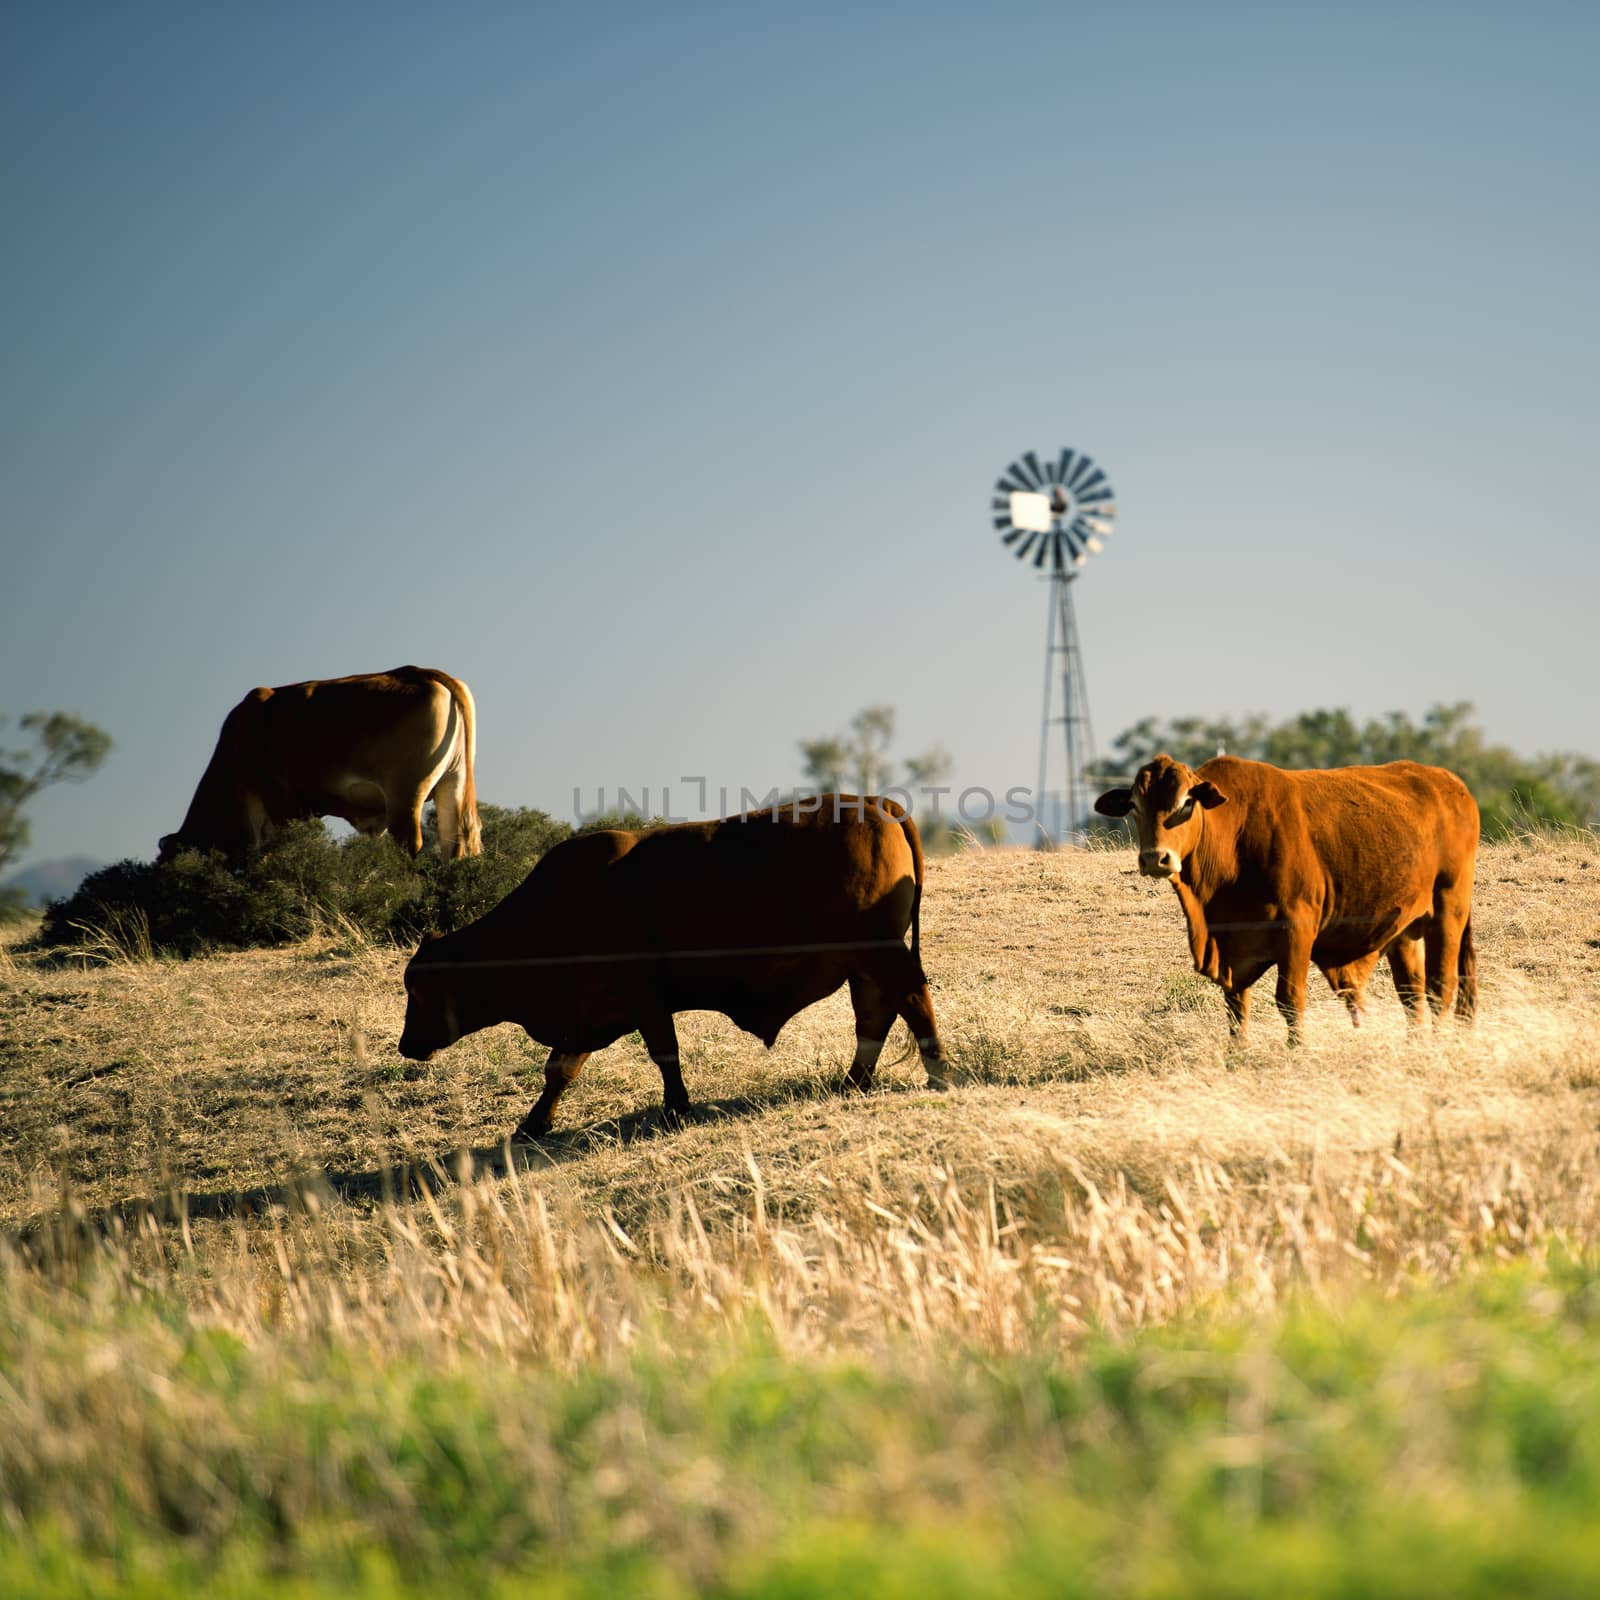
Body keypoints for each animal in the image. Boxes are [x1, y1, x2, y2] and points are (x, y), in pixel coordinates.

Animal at [156, 662, 480, 864]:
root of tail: (420, 673)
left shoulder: (282, 802)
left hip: (405, 795)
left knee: (411, 842)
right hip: (453, 783)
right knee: (457, 842)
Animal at [400, 793, 953, 1132]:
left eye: (421, 990)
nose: (406, 1046)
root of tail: (874, 803)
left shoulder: (645, 999)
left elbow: (664, 1053)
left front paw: (675, 1108)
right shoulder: (589, 1012)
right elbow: (560, 1068)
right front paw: (534, 1124)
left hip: (880, 953)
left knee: (911, 1001)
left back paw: (939, 1074)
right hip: (865, 964)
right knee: (875, 1018)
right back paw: (854, 1081)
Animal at [1094, 755, 1478, 1043]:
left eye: (1186, 803)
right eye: (1134, 806)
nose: (1155, 859)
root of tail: (1450, 783)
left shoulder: (1296, 930)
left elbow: (1290, 1000)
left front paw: (1297, 1052)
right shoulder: (1233, 947)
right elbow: (1236, 1006)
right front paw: (1238, 1053)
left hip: (1448, 909)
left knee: (1440, 987)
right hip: (1405, 928)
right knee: (1412, 995)